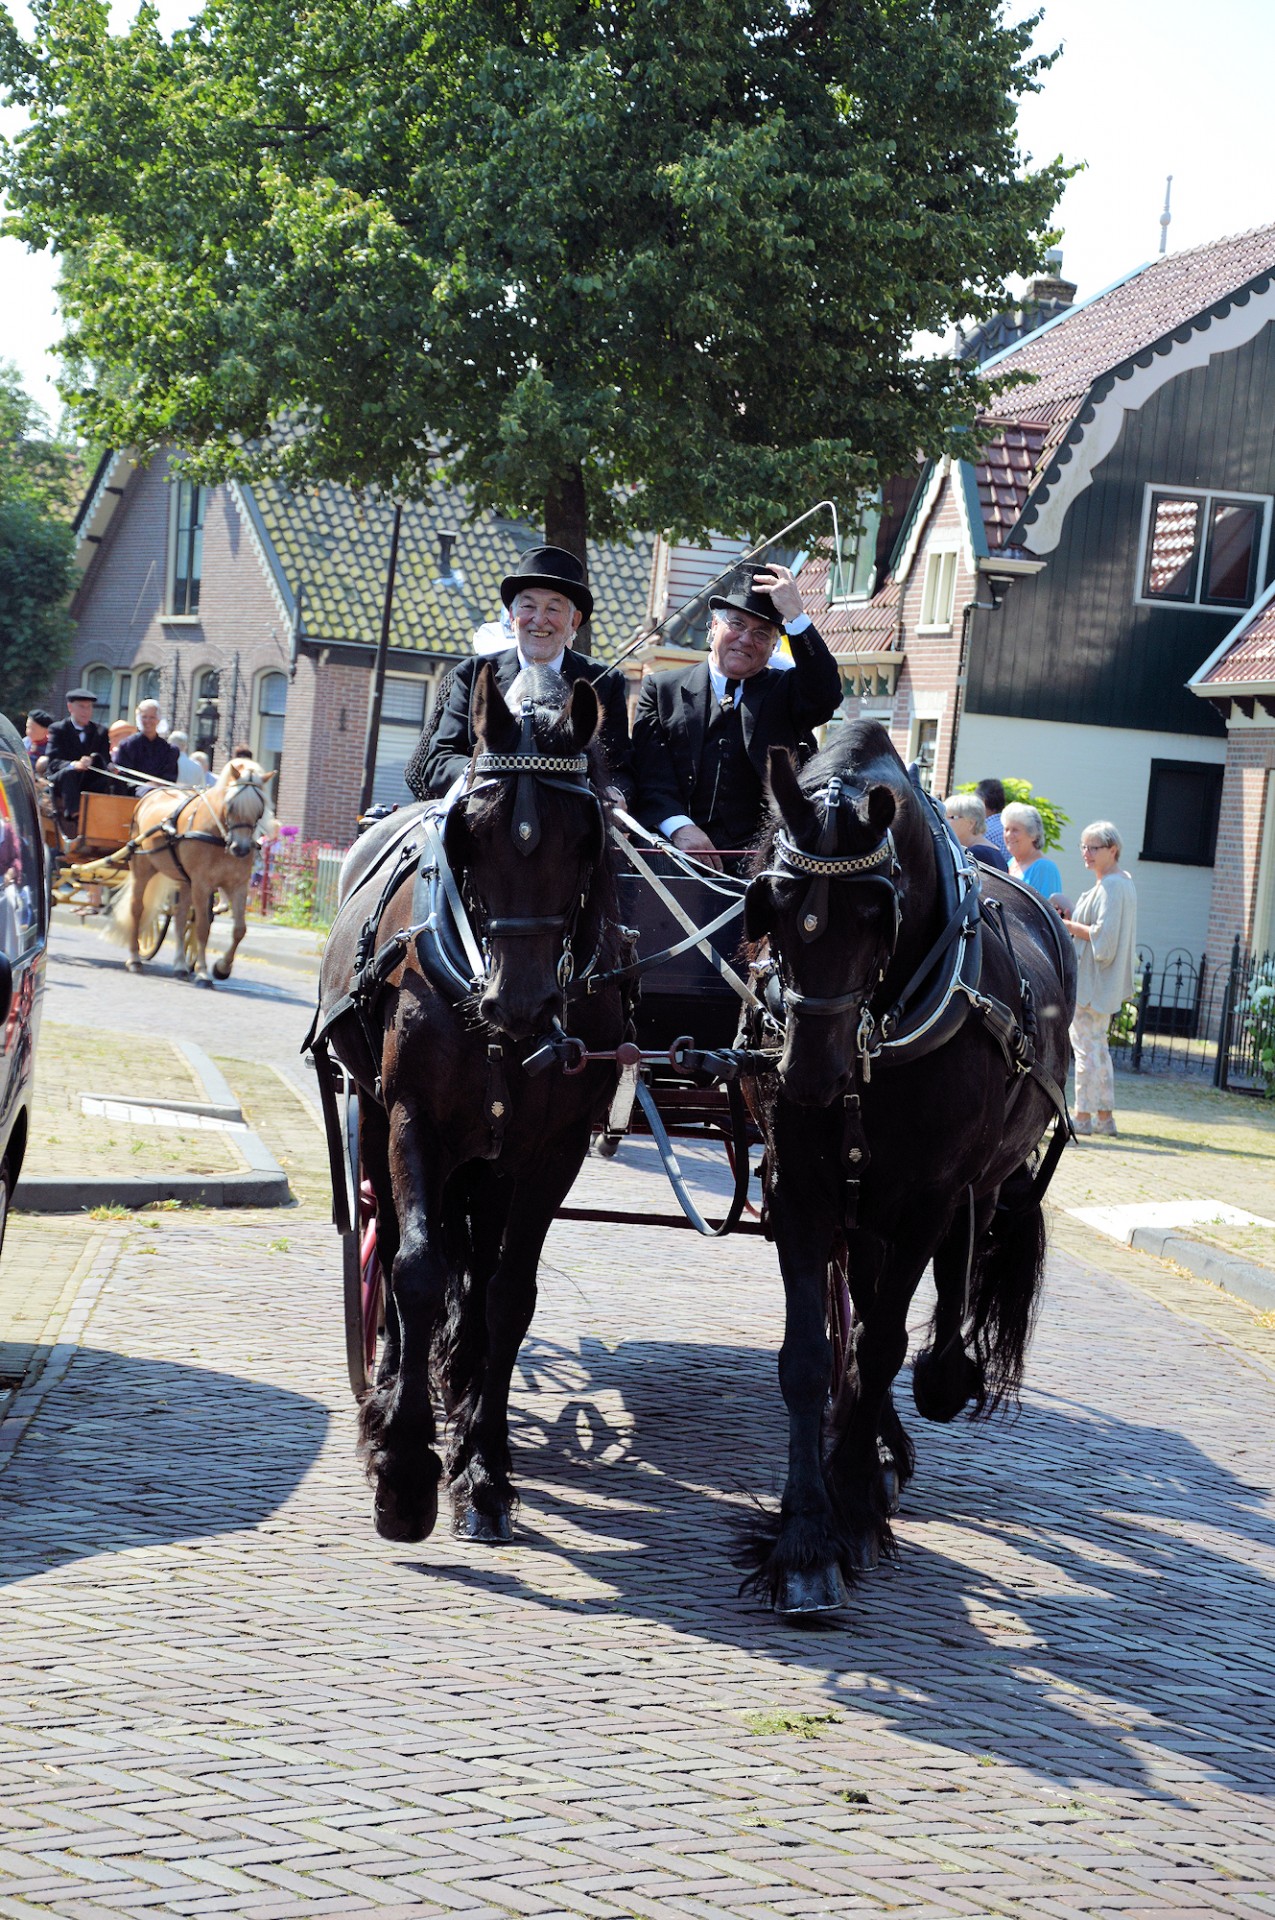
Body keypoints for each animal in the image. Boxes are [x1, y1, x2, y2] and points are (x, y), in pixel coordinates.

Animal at [116, 752, 274, 983]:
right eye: (231, 805)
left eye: (260, 809)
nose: (241, 848)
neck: (219, 836)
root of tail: (150, 795)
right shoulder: (201, 884)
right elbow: (202, 927)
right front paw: (202, 972)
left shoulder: (237, 885)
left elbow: (239, 930)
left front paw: (222, 968)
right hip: (142, 869)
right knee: (137, 908)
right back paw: (135, 959)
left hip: (184, 880)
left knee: (180, 917)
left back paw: (180, 965)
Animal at [309, 664, 625, 1543]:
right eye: (473, 833)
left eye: (584, 838)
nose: (521, 1005)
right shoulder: (413, 1117)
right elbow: (416, 1270)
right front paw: (404, 1472)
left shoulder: (550, 1150)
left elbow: (507, 1295)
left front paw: (482, 1469)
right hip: (383, 1117)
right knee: (396, 1241)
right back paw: (391, 1384)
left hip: (491, 1160)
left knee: (477, 1271)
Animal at [737, 725, 1075, 1612]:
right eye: (773, 902)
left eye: (874, 911)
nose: (808, 1076)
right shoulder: (801, 1187)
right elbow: (810, 1356)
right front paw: (806, 1539)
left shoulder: (927, 1196)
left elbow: (886, 1340)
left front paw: (851, 1503)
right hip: (867, 1211)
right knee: (860, 1309)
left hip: (965, 1188)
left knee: (946, 1277)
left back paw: (939, 1380)